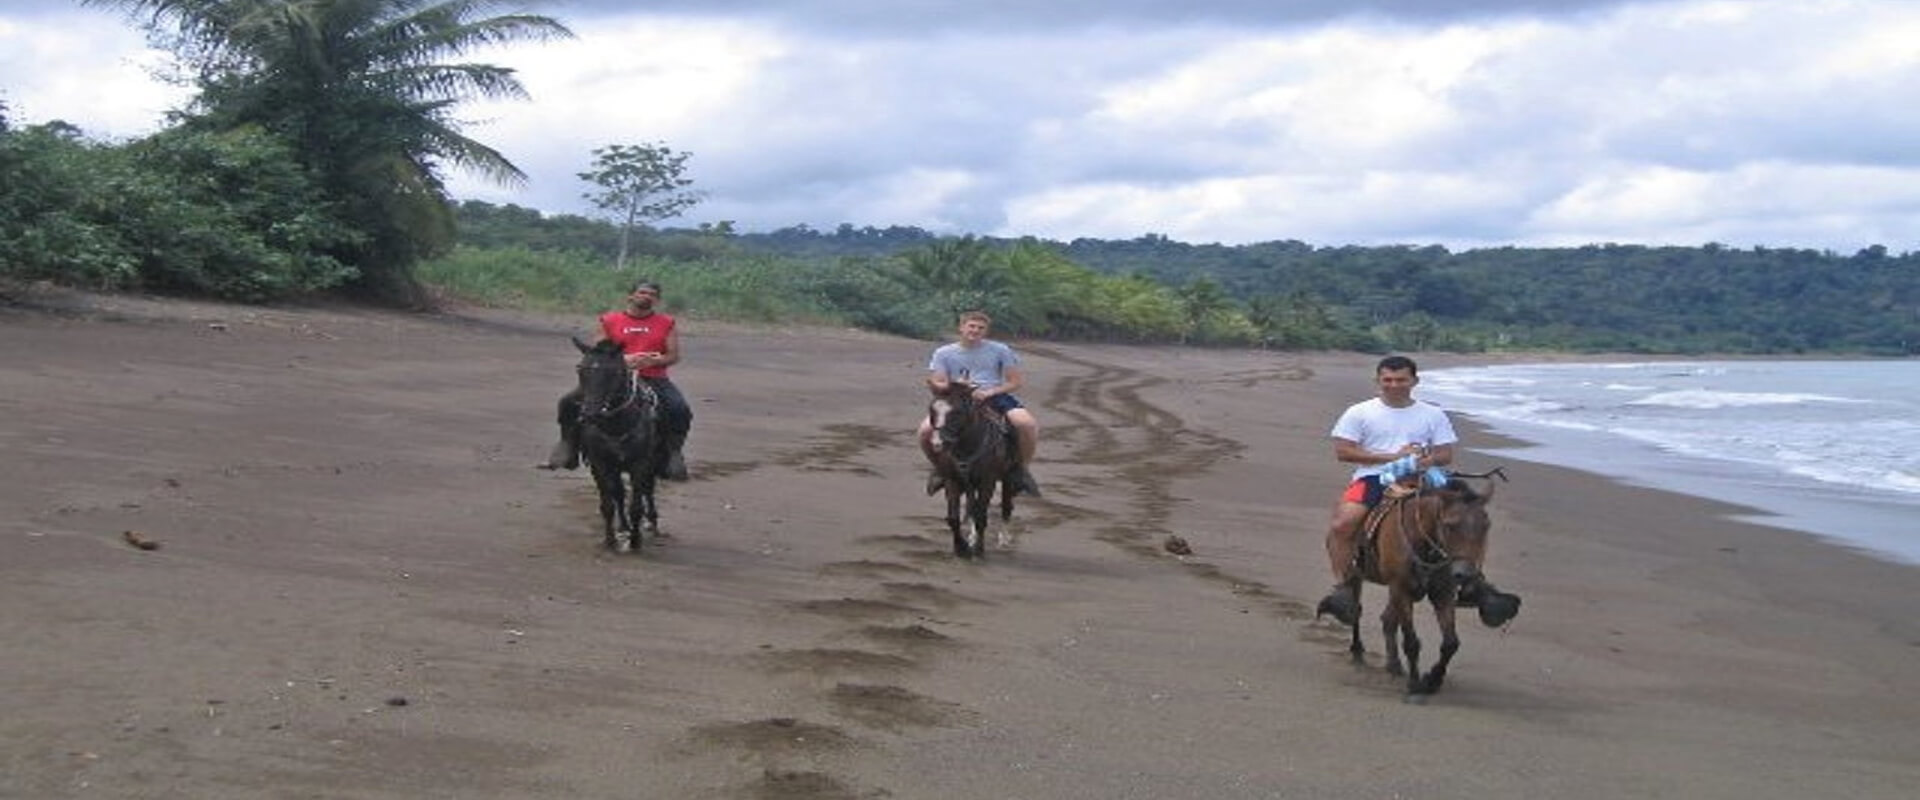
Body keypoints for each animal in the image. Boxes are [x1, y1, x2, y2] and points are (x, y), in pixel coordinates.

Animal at [568, 333, 660, 552]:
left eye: (613, 372)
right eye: (580, 370)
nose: (589, 414)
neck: (616, 425)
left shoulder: (640, 464)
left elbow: (636, 505)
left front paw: (635, 541)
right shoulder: (600, 464)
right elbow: (608, 503)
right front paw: (609, 540)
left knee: (648, 488)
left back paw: (652, 522)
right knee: (618, 493)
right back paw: (623, 526)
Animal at [929, 377, 1021, 556]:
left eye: (957, 412)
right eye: (932, 409)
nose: (937, 443)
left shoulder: (987, 481)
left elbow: (981, 515)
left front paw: (978, 549)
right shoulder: (952, 480)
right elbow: (954, 517)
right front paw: (961, 548)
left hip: (1007, 477)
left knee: (1006, 506)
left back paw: (1003, 539)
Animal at [1344, 470, 1520, 694]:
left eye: (1486, 526)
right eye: (1450, 525)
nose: (1466, 574)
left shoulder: (1443, 592)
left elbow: (1451, 643)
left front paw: (1433, 680)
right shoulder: (1401, 588)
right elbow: (1411, 642)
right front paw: (1414, 685)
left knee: (1388, 620)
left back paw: (1393, 665)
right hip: (1356, 573)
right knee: (1355, 609)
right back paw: (1357, 650)